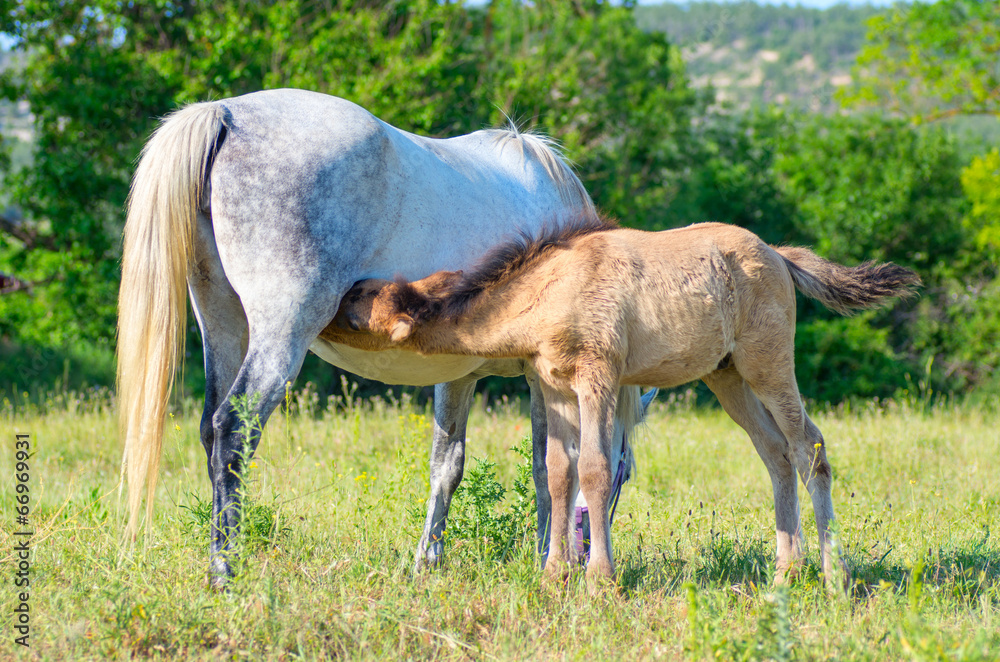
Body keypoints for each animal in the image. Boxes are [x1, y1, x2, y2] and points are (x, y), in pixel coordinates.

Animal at [116, 89, 648, 587]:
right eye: (623, 471)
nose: (588, 549)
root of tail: (226, 114)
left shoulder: (459, 373)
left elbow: (448, 464)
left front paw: (427, 562)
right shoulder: (542, 377)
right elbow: (549, 466)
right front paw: (544, 560)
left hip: (223, 323)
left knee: (212, 430)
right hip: (280, 335)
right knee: (233, 428)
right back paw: (225, 568)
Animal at [326, 214, 921, 592]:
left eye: (359, 302)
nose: (334, 297)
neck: (551, 292)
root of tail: (778, 254)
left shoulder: (599, 378)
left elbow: (593, 469)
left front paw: (599, 581)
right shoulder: (554, 387)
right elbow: (557, 472)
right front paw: (554, 576)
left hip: (766, 363)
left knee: (808, 447)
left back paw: (835, 575)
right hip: (726, 376)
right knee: (774, 452)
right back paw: (786, 572)